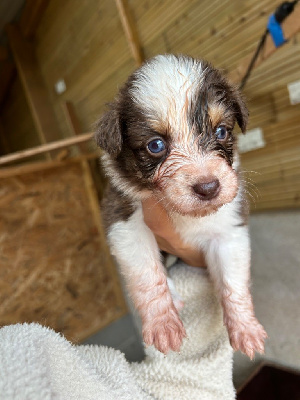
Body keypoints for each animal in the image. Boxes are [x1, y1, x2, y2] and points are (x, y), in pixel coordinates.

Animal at [95, 54, 266, 358]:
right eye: (155, 145)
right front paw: (163, 323)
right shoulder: (124, 221)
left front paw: (245, 328)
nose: (209, 188)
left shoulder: (229, 231)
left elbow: (233, 282)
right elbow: (147, 274)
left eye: (221, 131)